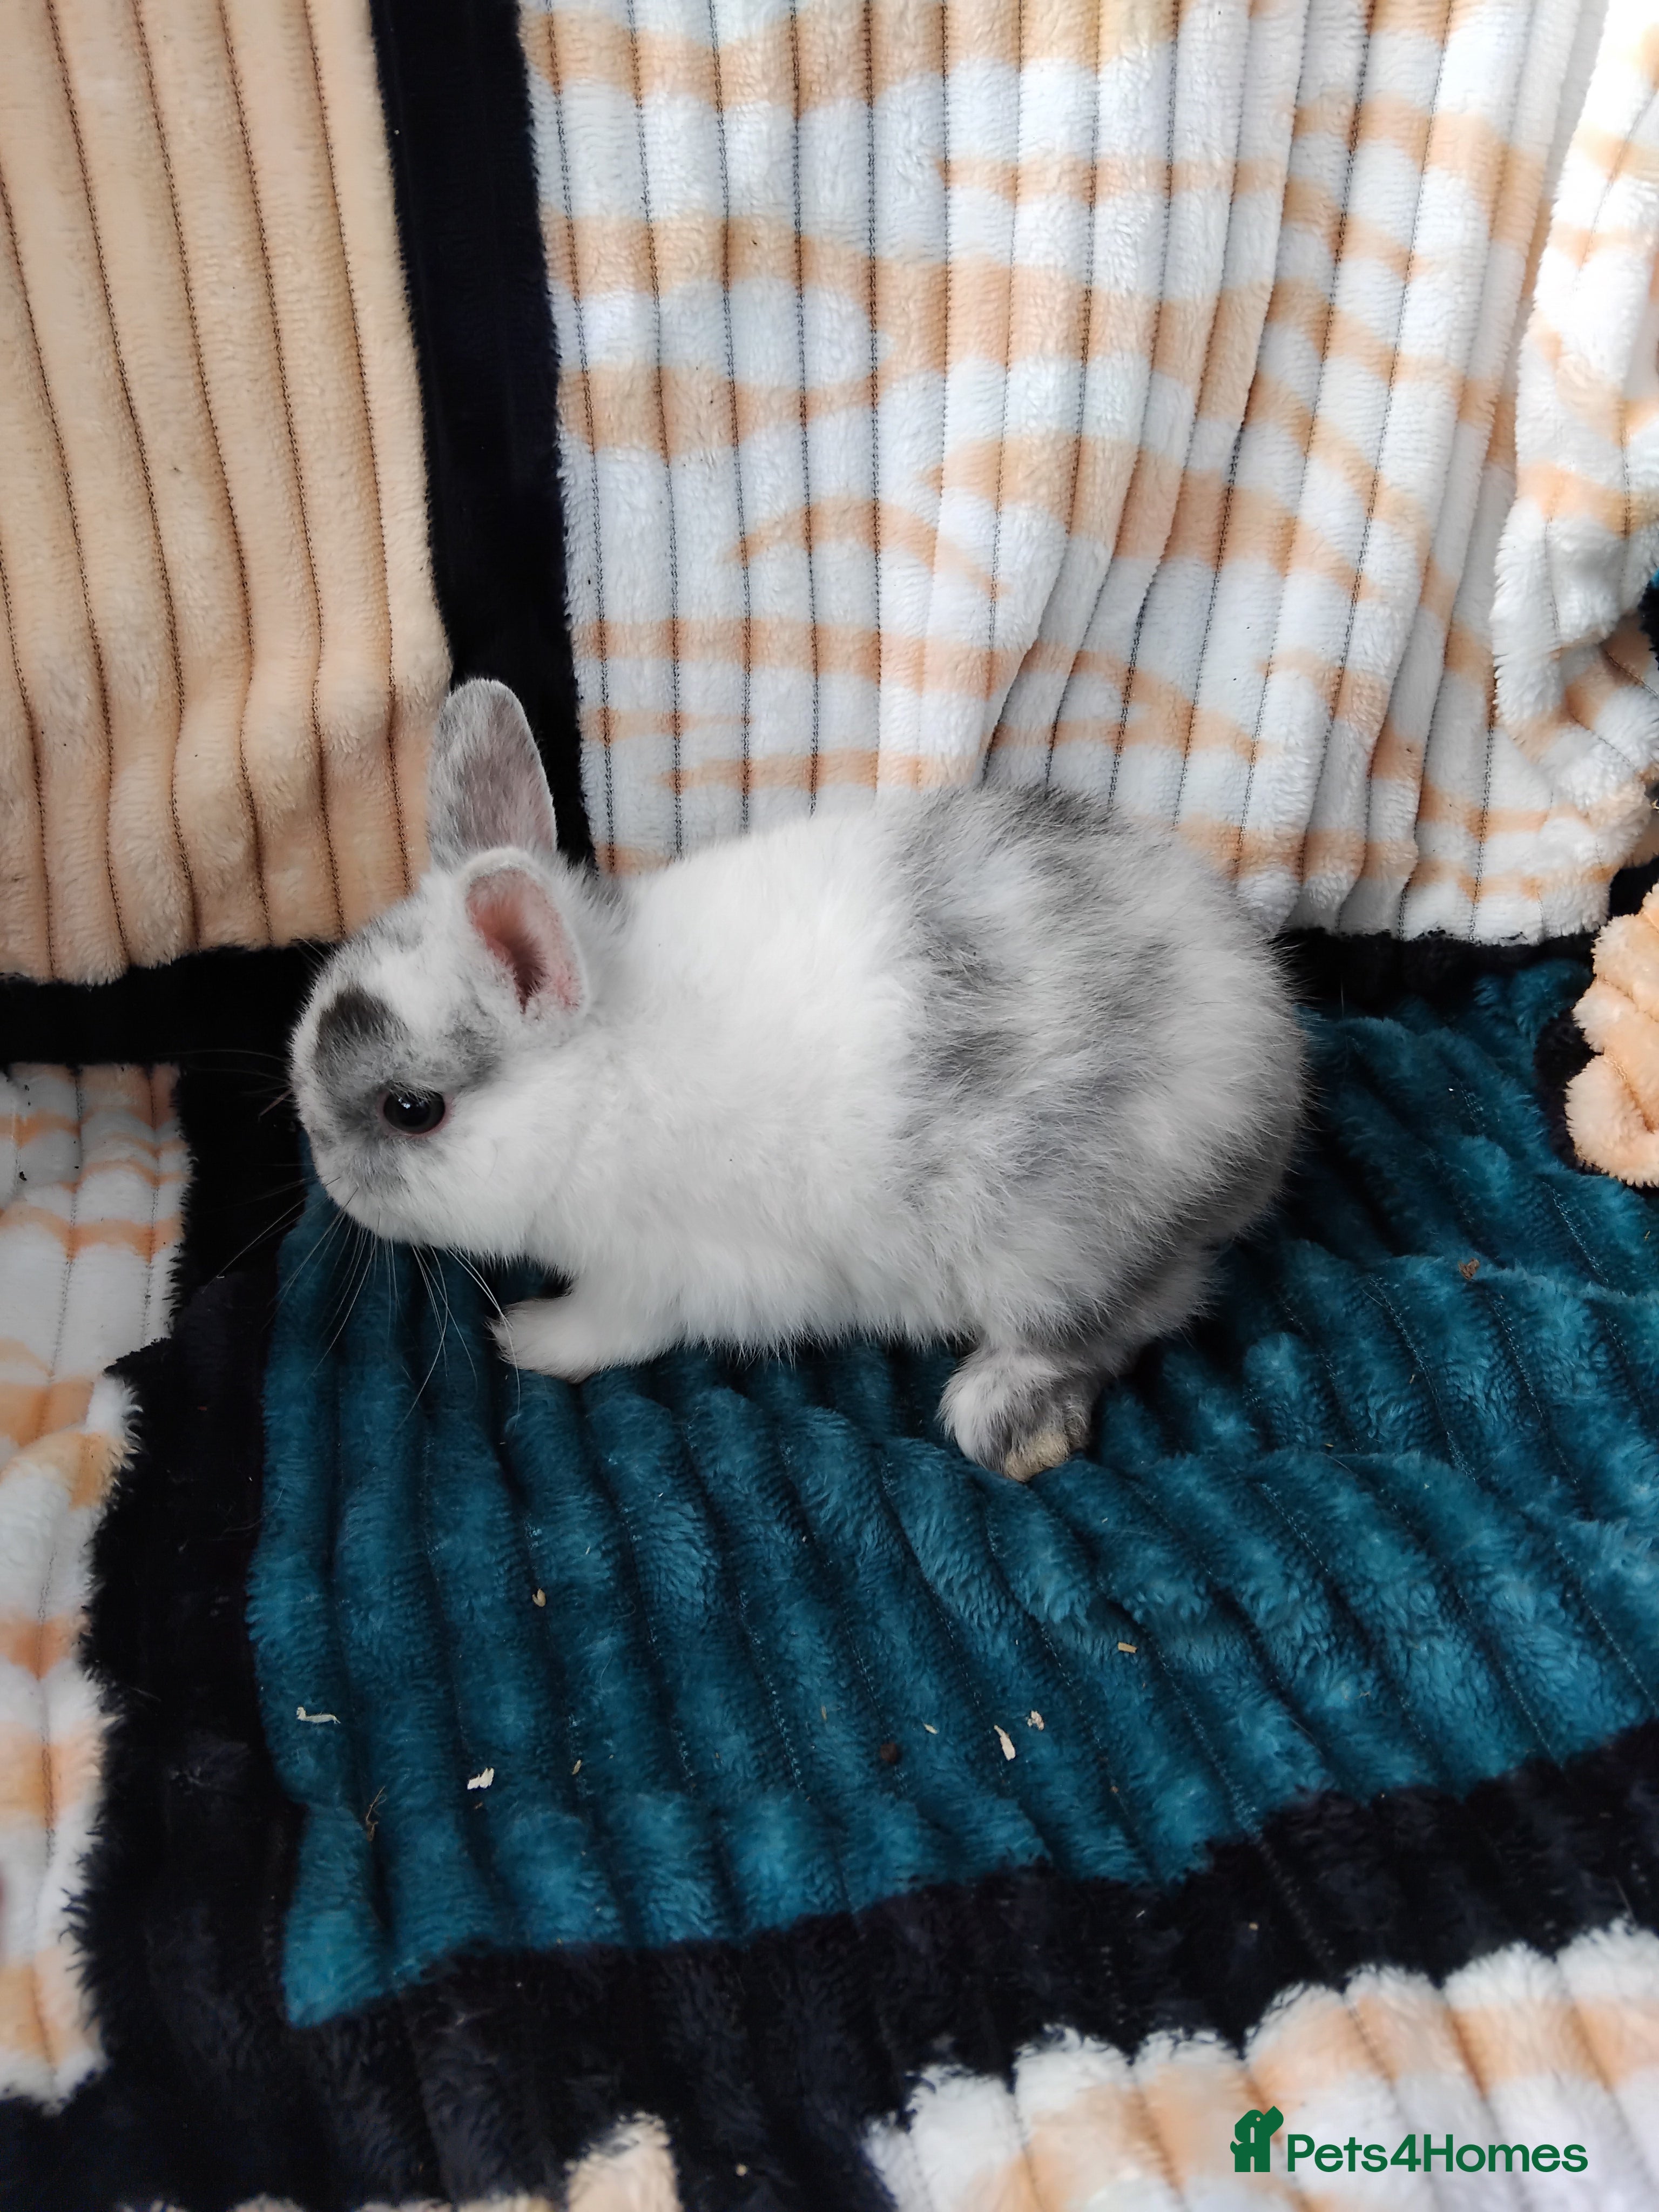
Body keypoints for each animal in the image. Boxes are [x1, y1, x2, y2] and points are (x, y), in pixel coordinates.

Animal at [290, 678, 1304, 1480]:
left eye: (412, 1110)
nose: (330, 1176)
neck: (595, 1078)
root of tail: (1270, 1083)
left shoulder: (664, 1274)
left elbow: (615, 1328)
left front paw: (531, 1339)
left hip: (1055, 1248)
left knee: (1127, 1319)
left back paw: (997, 1410)